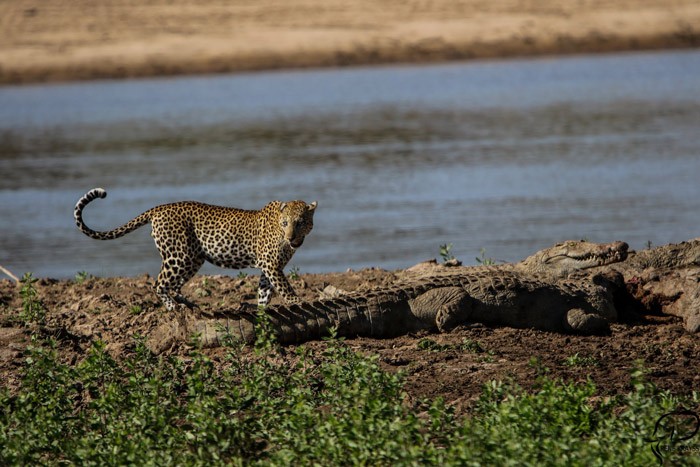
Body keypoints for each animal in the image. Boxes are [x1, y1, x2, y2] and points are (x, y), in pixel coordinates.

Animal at [74, 188, 318, 312]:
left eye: (300, 223)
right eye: (285, 223)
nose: (290, 237)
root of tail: (159, 208)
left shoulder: (268, 268)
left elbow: (264, 291)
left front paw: (261, 310)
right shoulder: (271, 264)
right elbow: (284, 287)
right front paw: (298, 302)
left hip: (193, 258)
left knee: (174, 285)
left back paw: (189, 303)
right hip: (179, 256)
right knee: (158, 283)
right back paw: (173, 307)